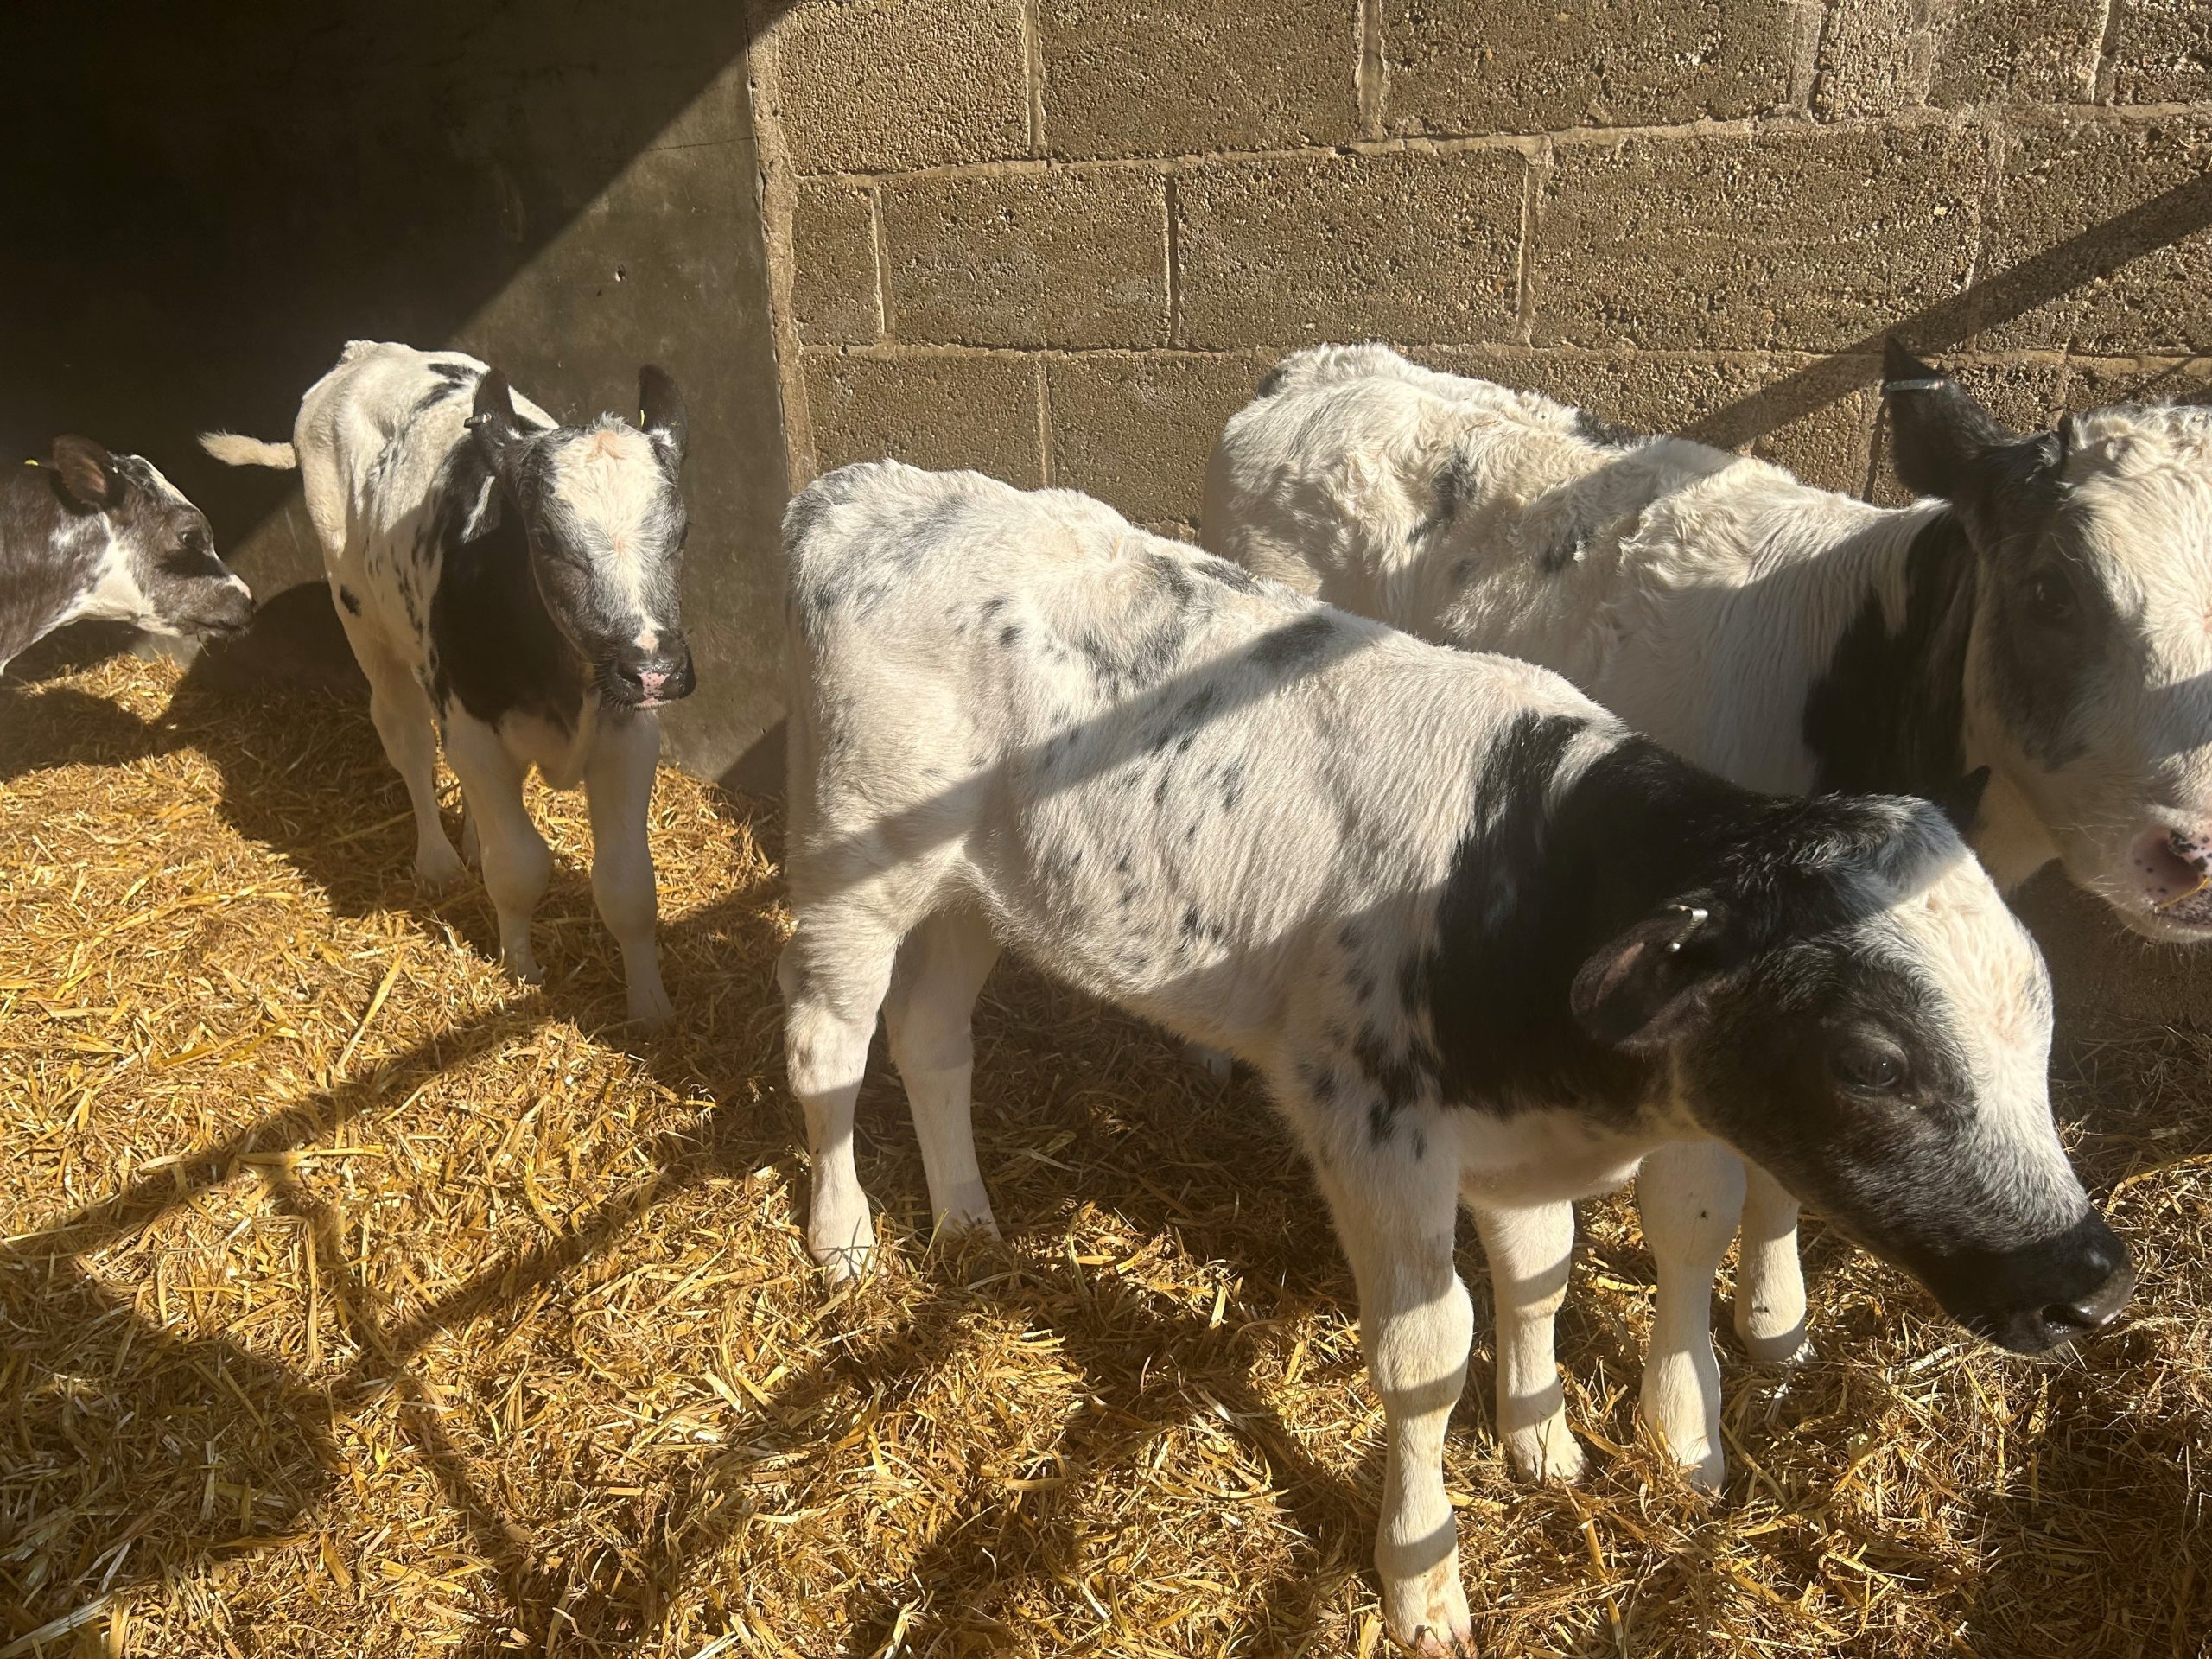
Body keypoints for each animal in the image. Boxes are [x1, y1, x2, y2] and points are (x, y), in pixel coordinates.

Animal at [201, 341, 695, 1025]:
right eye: (546, 538)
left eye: (681, 532)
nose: (654, 668)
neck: (562, 676)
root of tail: (365, 353)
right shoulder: (478, 730)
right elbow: (519, 867)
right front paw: (521, 969)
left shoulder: (628, 735)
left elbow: (628, 886)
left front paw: (650, 1008)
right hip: (364, 623)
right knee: (407, 741)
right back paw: (438, 859)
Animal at [779, 459, 2132, 1657]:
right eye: (1870, 1061)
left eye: (2043, 1022)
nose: (2096, 1276)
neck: (1521, 877)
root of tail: (869, 492)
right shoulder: (1373, 1129)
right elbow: (1427, 1356)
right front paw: (1422, 1584)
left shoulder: (1516, 1139)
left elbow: (1542, 1270)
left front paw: (1542, 1442)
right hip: (853, 857)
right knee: (825, 1045)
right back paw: (844, 1239)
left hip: (972, 891)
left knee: (933, 1035)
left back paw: (965, 1224)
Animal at [1201, 339, 2210, 1486]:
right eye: (2050, 590)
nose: (2191, 848)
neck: (1860, 674)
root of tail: (1324, 366)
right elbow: (1695, 1215)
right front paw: (1683, 1423)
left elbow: (1784, 1180)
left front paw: (1775, 1323)